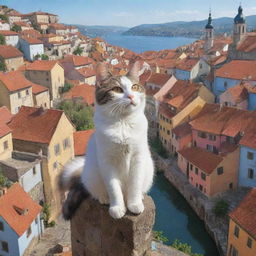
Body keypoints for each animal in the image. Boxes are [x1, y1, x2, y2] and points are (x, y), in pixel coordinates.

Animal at [59, 62, 154, 220]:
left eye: (135, 87)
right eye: (117, 89)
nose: (131, 96)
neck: (123, 123)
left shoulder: (138, 157)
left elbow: (135, 183)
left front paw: (134, 204)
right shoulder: (107, 161)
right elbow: (113, 187)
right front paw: (117, 207)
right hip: (91, 174)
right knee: (97, 191)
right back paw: (104, 198)